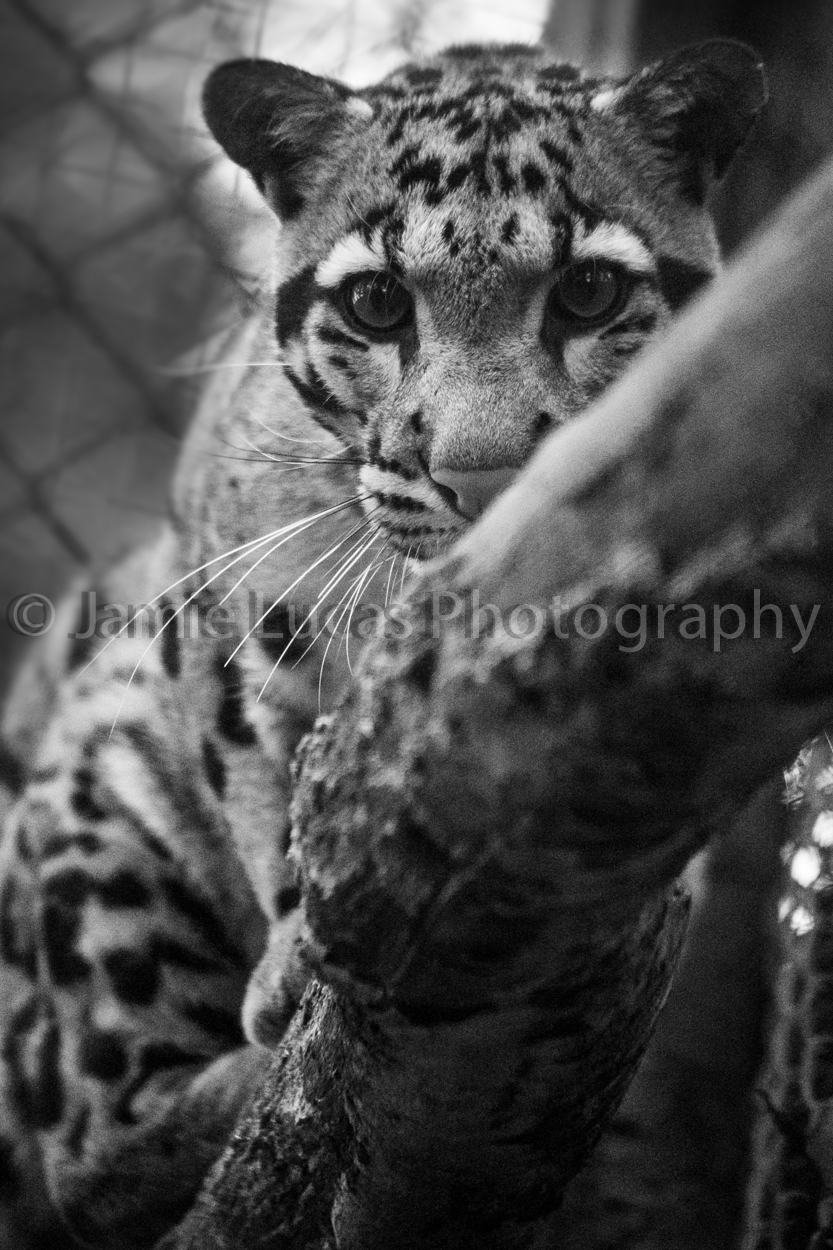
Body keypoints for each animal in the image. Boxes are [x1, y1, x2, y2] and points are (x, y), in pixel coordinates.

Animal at [0, 37, 766, 1249]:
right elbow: (260, 777)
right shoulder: (217, 609)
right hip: (92, 797)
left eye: (588, 291)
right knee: (92, 1154)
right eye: (374, 304)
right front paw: (296, 956)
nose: (481, 472)